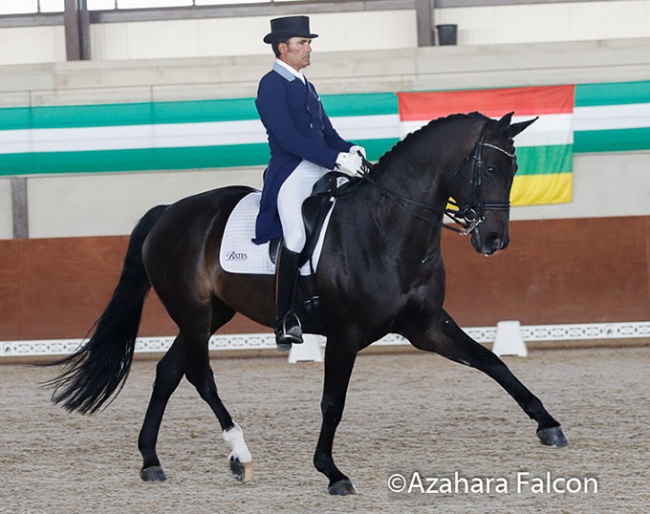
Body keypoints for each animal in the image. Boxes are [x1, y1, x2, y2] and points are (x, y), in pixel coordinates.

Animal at [44, 111, 560, 492]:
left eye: (514, 170)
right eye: (489, 169)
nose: (494, 240)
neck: (388, 226)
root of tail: (169, 212)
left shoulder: (427, 325)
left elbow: (492, 363)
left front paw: (548, 425)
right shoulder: (345, 334)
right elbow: (333, 401)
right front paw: (331, 472)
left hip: (213, 313)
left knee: (169, 372)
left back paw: (151, 460)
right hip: (192, 312)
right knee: (198, 375)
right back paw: (240, 455)